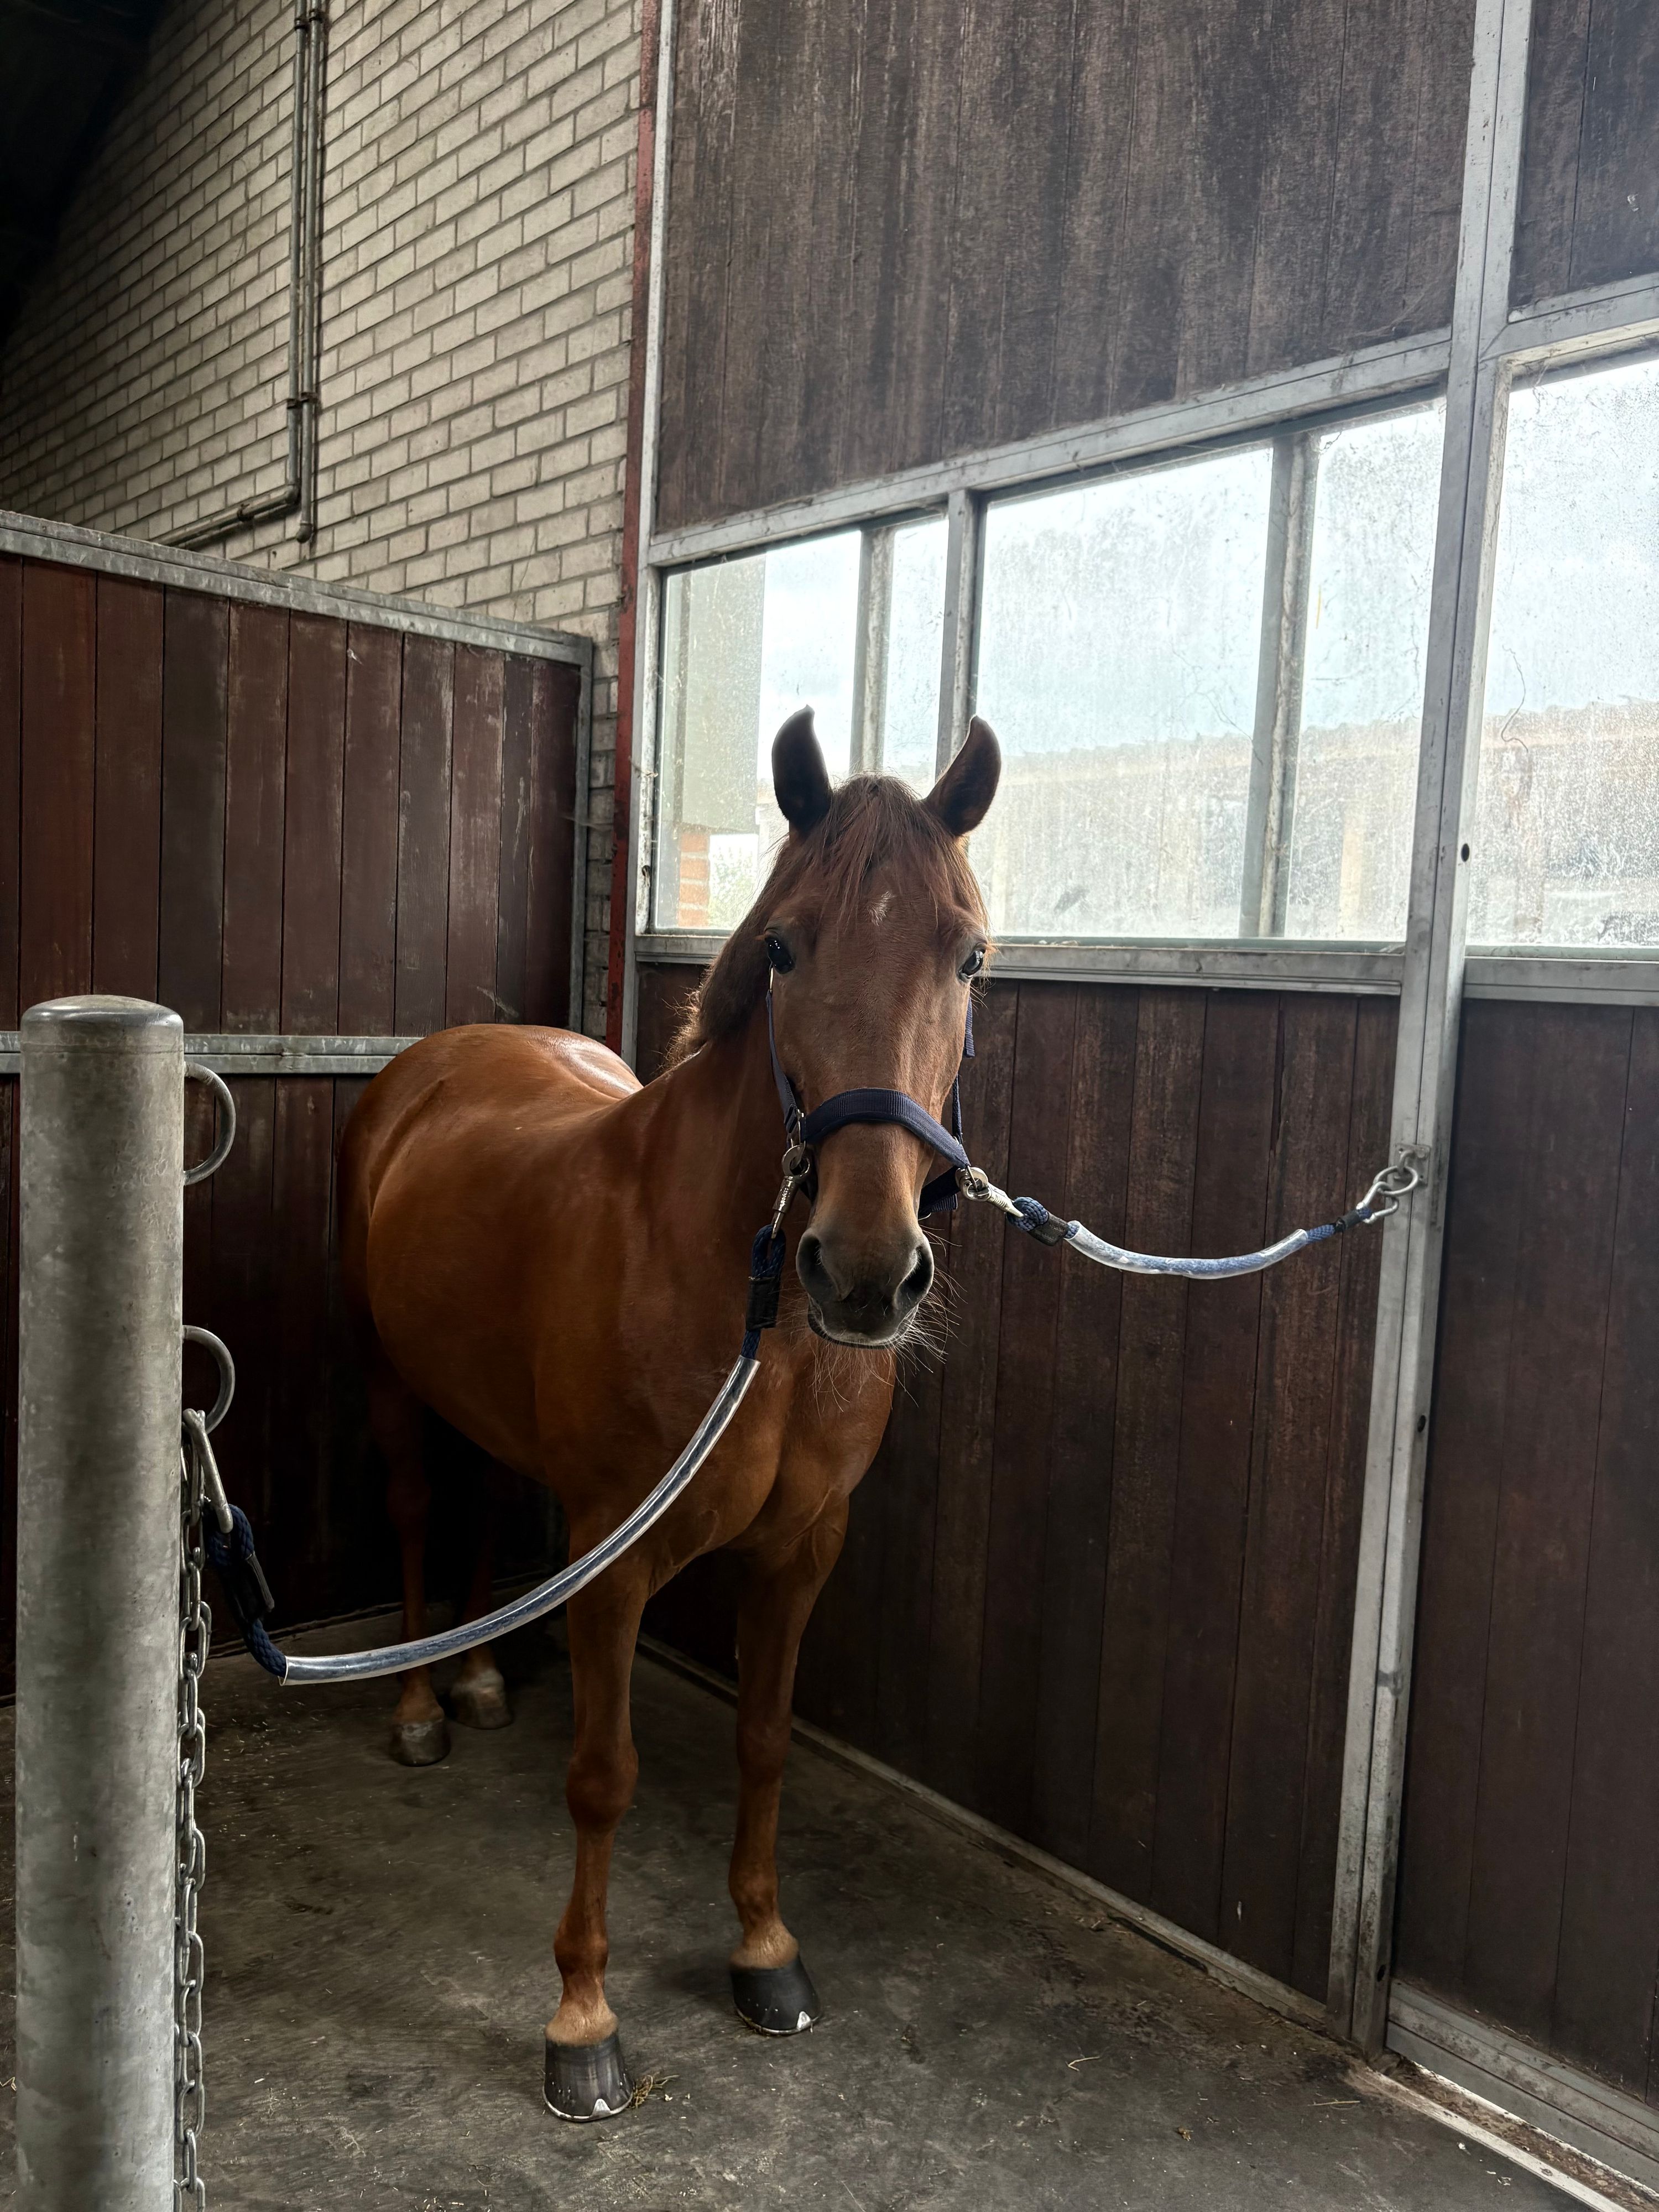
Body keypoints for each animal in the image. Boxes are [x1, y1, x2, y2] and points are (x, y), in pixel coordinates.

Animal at [336, 706, 1002, 2118]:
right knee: (418, 1511)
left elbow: (763, 1741)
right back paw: (420, 1703)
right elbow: (605, 1778)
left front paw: (764, 1948)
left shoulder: (803, 1549)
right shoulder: (615, 1558)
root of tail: (444, 1057)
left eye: (968, 954)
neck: (755, 1315)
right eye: (787, 943)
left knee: (485, 1502)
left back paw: (480, 1679)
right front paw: (582, 2018)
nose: (866, 1269)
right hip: (390, 1379)